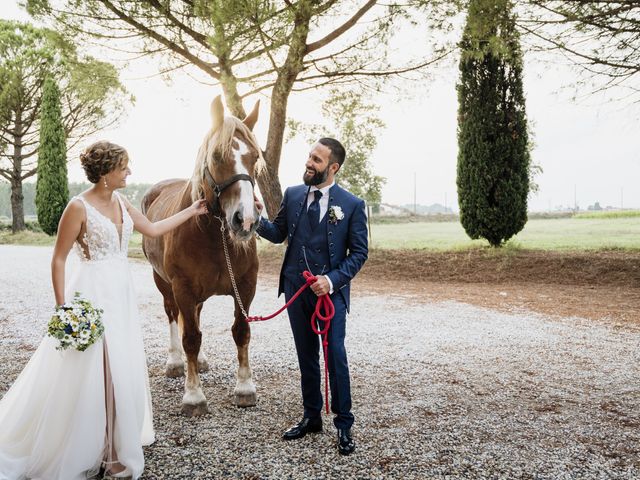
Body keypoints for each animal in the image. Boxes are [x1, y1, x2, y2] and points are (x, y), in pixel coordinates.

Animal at [142, 94, 262, 416]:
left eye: (254, 158)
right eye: (217, 157)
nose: (245, 220)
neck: (213, 237)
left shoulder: (245, 286)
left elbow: (241, 331)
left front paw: (244, 388)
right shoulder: (182, 287)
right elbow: (190, 338)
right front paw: (193, 396)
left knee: (194, 316)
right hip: (164, 283)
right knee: (173, 316)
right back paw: (175, 362)